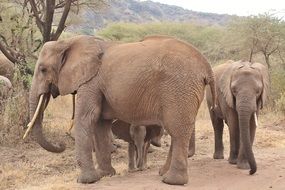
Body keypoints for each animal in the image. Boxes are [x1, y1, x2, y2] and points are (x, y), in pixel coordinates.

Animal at [25, 35, 215, 185]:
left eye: (43, 69)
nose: (62, 144)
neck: (67, 42)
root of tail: (206, 66)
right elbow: (100, 123)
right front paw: (105, 175)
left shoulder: (91, 81)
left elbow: (86, 118)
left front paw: (86, 181)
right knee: (177, 130)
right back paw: (163, 173)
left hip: (179, 87)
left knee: (177, 129)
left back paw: (172, 181)